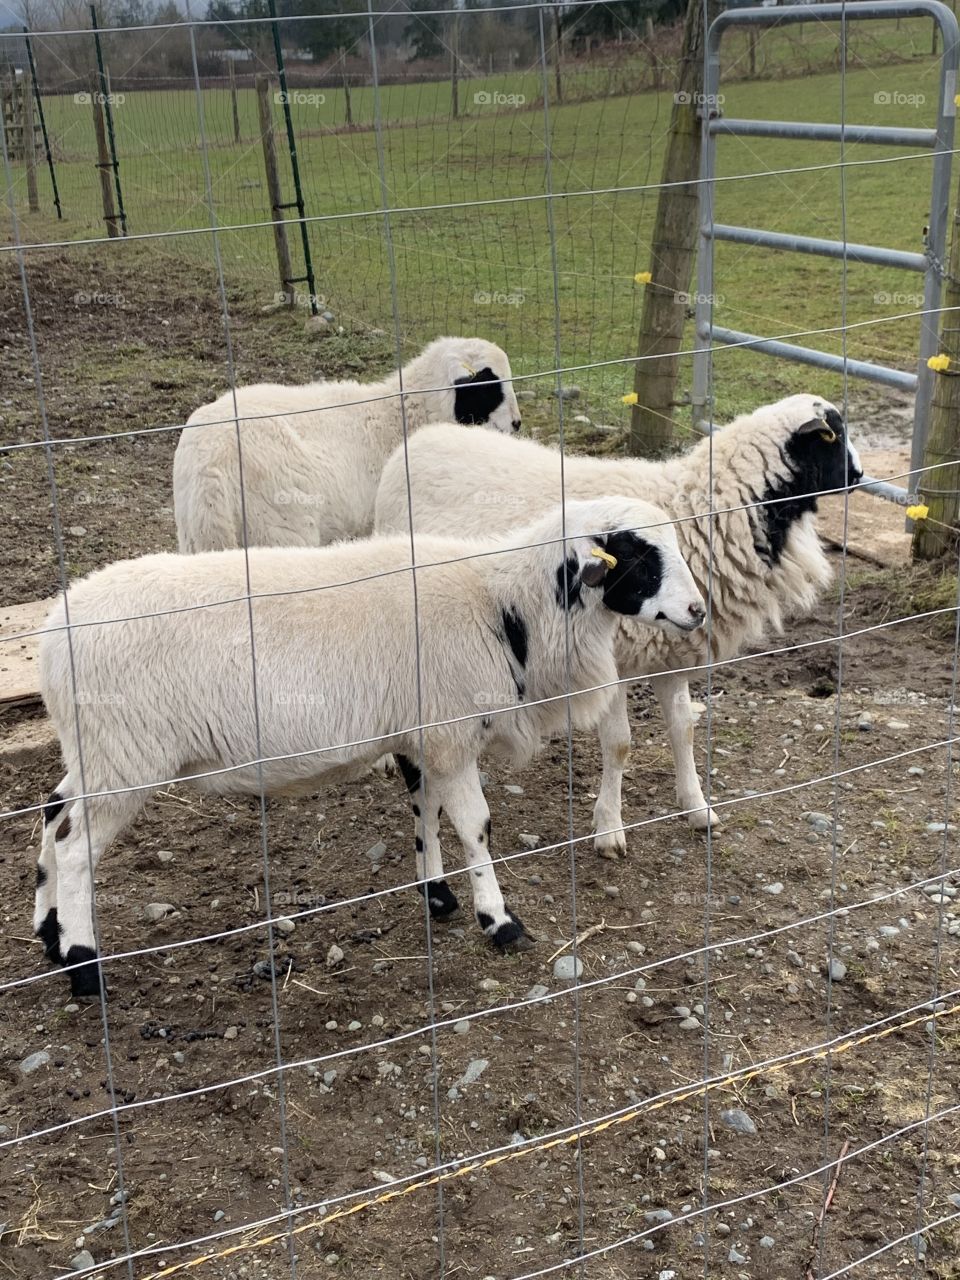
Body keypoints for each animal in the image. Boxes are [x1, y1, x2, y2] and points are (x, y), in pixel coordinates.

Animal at [35, 497, 705, 997]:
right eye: (638, 556)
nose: (699, 610)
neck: (507, 604)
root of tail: (51, 637)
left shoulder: (419, 734)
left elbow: (425, 813)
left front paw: (437, 895)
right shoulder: (449, 730)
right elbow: (475, 825)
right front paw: (499, 920)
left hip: (97, 753)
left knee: (53, 813)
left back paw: (50, 934)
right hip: (126, 756)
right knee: (75, 851)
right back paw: (84, 965)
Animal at [172, 336, 522, 554]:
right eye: (488, 385)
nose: (517, 425)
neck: (397, 417)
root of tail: (210, 468)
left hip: (194, 537)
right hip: (278, 529)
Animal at [374, 394, 863, 854]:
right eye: (832, 435)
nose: (859, 476)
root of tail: (425, 437)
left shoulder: (672, 654)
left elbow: (684, 731)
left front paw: (697, 807)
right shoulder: (612, 660)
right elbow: (620, 744)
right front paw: (609, 827)